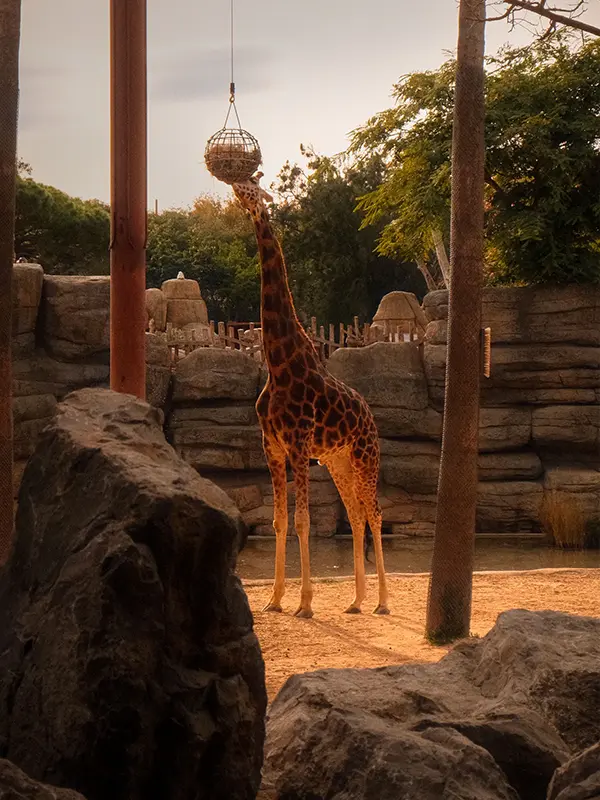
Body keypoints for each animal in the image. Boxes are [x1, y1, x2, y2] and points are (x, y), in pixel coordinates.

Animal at [232, 173, 389, 619]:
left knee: (374, 513)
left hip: (364, 456)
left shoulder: (298, 443)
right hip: (338, 460)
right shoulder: (271, 446)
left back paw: (382, 602)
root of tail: (370, 416)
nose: (233, 186)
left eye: (251, 186)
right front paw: (274, 599)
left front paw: (304, 603)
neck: (278, 362)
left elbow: (302, 520)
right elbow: (279, 521)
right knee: (354, 514)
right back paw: (356, 600)